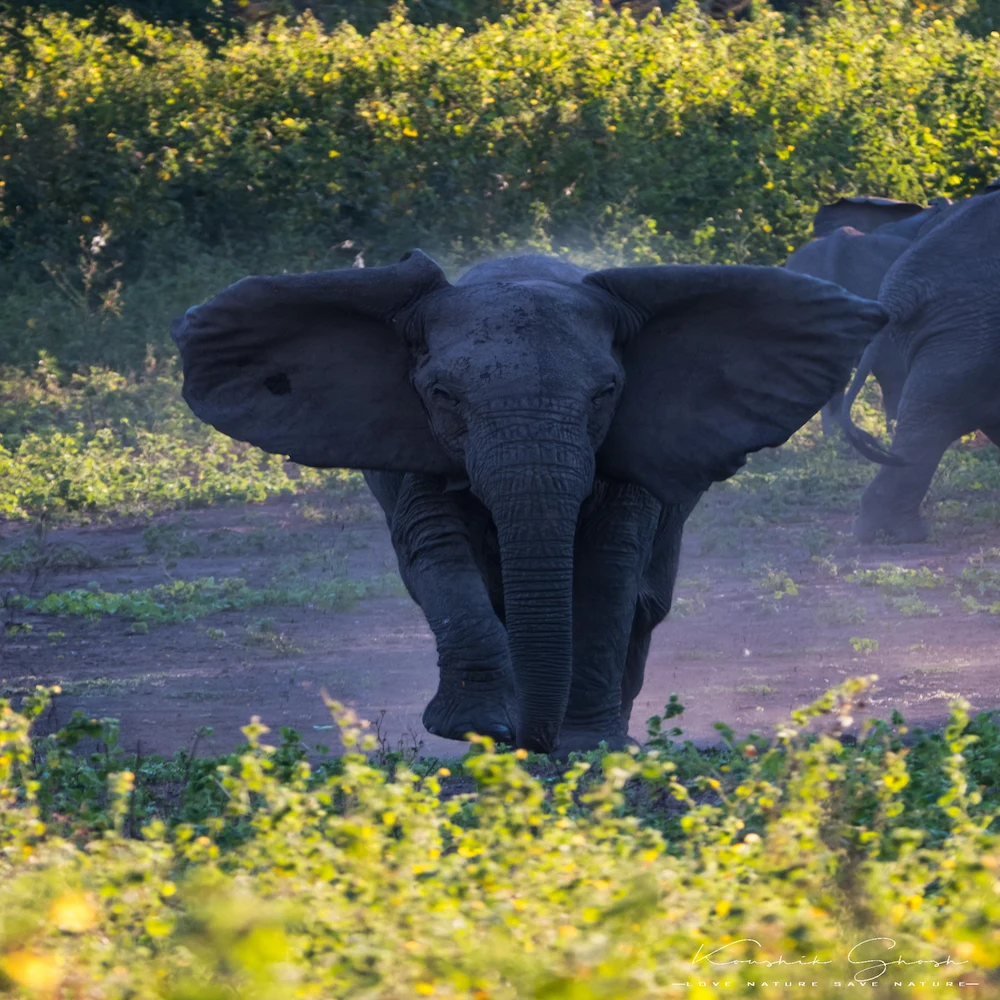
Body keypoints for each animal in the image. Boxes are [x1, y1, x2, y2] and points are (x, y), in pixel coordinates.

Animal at [171, 251, 886, 753]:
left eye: (605, 392)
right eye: (443, 395)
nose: (530, 742)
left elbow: (606, 567)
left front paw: (585, 746)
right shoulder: (414, 445)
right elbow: (437, 554)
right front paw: (476, 729)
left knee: (644, 604)